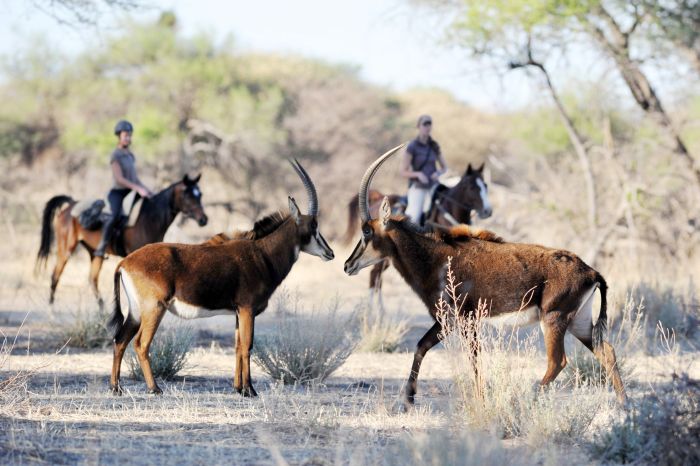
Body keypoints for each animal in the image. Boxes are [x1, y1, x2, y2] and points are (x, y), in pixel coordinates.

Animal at [36, 173, 208, 308]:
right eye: (187, 194)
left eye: (200, 194)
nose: (203, 219)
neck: (148, 219)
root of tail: (70, 205)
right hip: (66, 249)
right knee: (55, 276)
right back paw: (52, 310)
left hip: (95, 253)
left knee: (92, 280)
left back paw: (102, 311)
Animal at [108, 158, 332, 396]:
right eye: (313, 226)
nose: (330, 253)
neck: (262, 254)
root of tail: (125, 262)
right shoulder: (247, 309)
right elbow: (247, 346)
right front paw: (249, 390)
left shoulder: (238, 312)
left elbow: (237, 346)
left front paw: (238, 388)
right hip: (154, 308)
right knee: (141, 344)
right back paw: (154, 388)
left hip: (135, 312)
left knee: (120, 340)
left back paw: (116, 387)